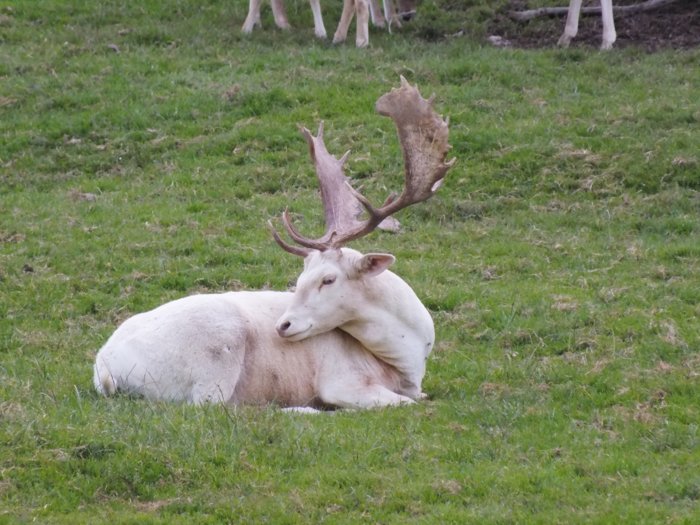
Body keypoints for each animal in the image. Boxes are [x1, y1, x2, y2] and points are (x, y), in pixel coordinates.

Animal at [91, 78, 454, 408]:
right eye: (300, 278)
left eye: (328, 279)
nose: (283, 325)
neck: (407, 360)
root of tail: (103, 366)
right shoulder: (342, 380)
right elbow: (408, 404)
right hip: (217, 353)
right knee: (213, 407)